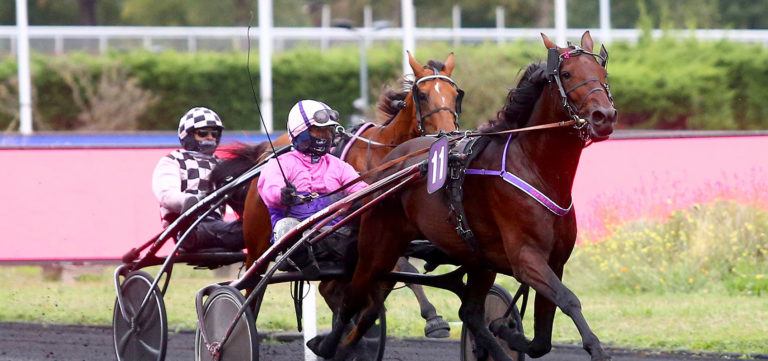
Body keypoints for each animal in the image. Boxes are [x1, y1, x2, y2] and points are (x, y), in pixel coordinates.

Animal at [210, 51, 462, 338]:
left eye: (455, 94)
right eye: (422, 95)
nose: (449, 134)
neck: (387, 155)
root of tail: (265, 153)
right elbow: (401, 269)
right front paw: (433, 318)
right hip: (258, 243)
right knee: (253, 286)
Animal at [308, 31, 616, 360]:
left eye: (603, 73)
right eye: (567, 74)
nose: (605, 116)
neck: (536, 168)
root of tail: (391, 163)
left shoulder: (553, 261)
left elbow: (541, 340)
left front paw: (507, 330)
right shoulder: (526, 258)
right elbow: (569, 299)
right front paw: (596, 348)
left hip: (478, 260)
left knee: (459, 312)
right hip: (379, 247)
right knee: (352, 298)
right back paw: (329, 344)